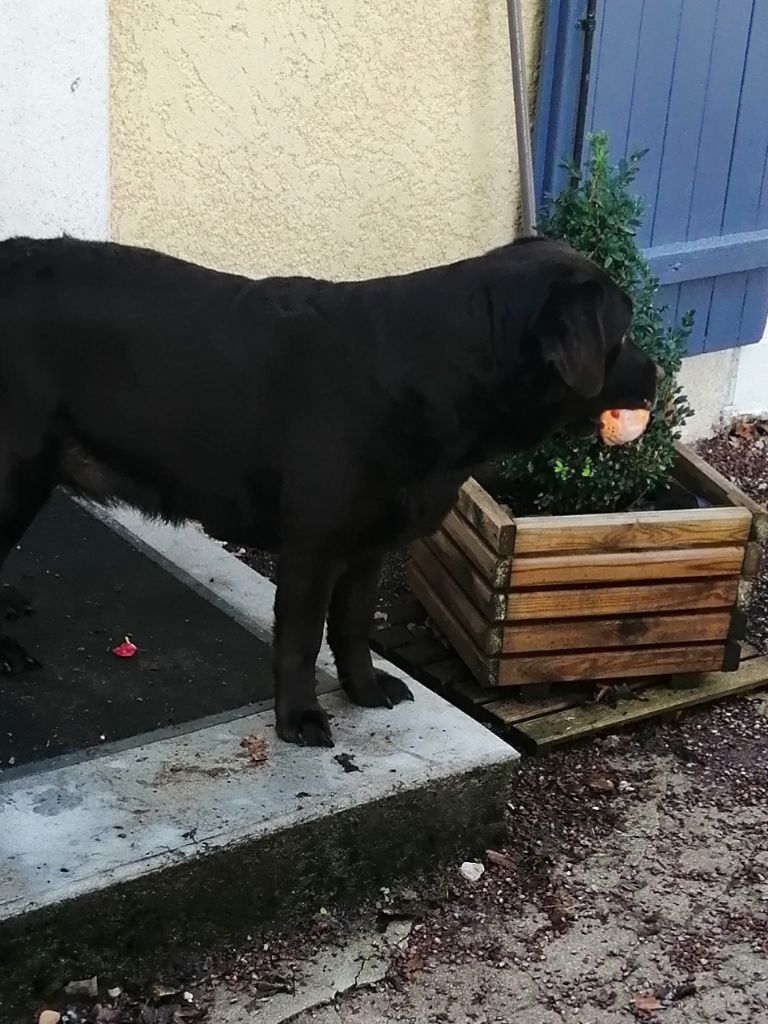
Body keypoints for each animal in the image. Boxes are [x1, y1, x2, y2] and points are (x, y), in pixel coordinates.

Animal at [0, 234, 663, 745]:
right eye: (622, 333)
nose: (657, 373)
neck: (428, 370)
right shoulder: (312, 549)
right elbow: (300, 639)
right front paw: (299, 718)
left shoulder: (370, 547)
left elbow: (351, 625)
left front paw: (363, 688)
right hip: (14, 478)